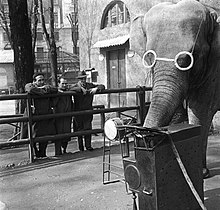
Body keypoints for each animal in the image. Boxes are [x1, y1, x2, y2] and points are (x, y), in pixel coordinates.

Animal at [130, 0, 220, 179]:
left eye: (192, 56)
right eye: (149, 56)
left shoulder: (214, 66)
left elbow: (199, 110)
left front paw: (201, 173)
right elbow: (178, 113)